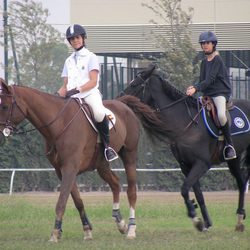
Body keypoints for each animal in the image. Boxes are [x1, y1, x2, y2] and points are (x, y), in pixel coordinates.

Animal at [0, 78, 168, 242]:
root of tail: (122, 104)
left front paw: (54, 233)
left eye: (5, 106)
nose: (1, 134)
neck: (59, 123)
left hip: (129, 156)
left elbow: (61, 201)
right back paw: (120, 222)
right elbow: (77, 201)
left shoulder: (70, 168)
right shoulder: (62, 171)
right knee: (115, 183)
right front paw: (86, 230)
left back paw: (131, 229)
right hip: (101, 164)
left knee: (131, 190)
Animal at [121, 64, 250, 232]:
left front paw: (195, 216)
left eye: (134, 84)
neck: (185, 124)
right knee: (241, 182)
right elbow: (196, 193)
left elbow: (184, 188)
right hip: (233, 159)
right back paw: (240, 219)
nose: (119, 98)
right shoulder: (186, 165)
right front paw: (204, 222)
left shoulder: (201, 163)